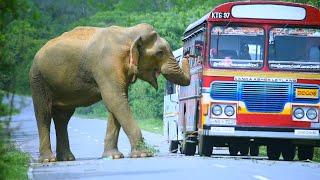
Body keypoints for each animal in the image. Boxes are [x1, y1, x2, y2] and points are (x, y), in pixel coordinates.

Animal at [28, 22, 190, 162]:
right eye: (160, 52)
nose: (188, 55)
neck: (128, 33)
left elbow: (116, 103)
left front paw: (114, 156)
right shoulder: (107, 65)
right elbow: (115, 100)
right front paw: (144, 154)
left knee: (63, 117)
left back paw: (66, 158)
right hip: (38, 79)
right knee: (44, 114)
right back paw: (48, 160)